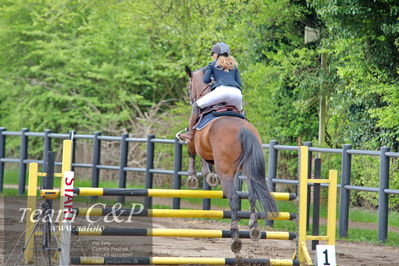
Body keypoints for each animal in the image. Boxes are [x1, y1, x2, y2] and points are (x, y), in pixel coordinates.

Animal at [184, 66, 278, 254]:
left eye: (189, 86)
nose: (190, 97)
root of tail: (243, 130)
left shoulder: (195, 142)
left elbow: (193, 152)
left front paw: (193, 177)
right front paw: (209, 176)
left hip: (226, 171)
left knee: (234, 197)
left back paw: (235, 237)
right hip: (250, 170)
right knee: (252, 194)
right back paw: (253, 227)